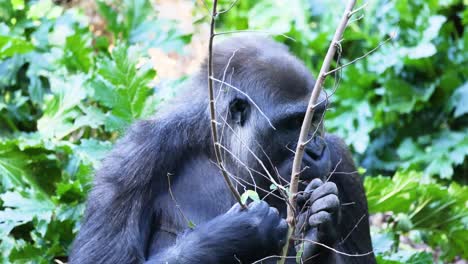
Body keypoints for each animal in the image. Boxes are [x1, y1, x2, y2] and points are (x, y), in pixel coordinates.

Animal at [69, 36, 374, 262]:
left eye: (316, 117)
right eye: (294, 124)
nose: (317, 151)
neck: (223, 153)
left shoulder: (342, 159)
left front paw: (317, 236)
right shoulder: (132, 159)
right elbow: (104, 259)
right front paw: (238, 233)